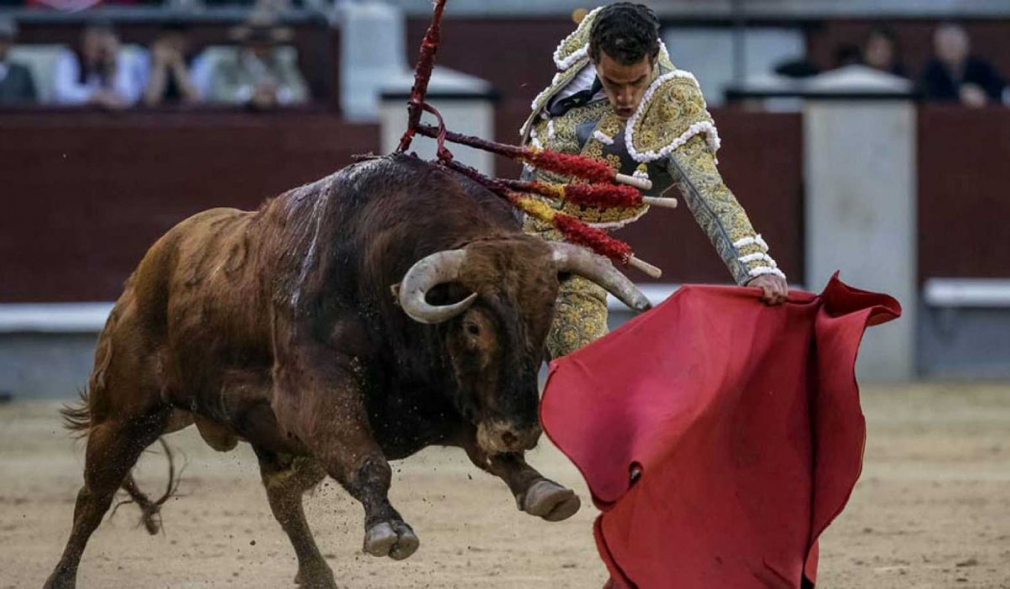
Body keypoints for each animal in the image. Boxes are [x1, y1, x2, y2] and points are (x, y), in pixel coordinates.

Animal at [43, 153, 646, 589]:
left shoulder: (432, 406)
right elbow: (367, 461)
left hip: (274, 440)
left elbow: (487, 456)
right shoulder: (317, 393)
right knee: (93, 498)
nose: (519, 429)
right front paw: (388, 528)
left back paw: (317, 576)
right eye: (474, 327)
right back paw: (60, 579)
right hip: (125, 414)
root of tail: (154, 262)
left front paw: (543, 489)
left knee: (283, 499)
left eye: (546, 316)